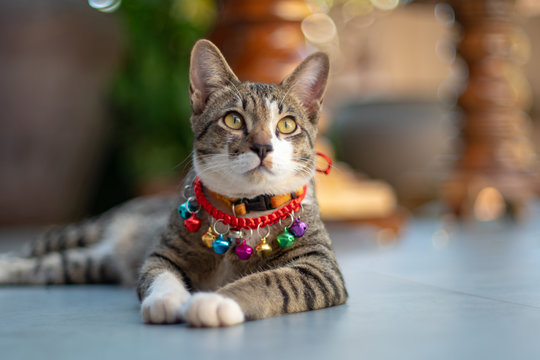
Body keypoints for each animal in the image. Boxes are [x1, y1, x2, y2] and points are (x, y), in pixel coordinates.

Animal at [0, 38, 348, 326]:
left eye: (287, 125)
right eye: (233, 119)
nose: (263, 146)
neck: (245, 210)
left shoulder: (321, 270)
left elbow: (270, 282)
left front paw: (216, 302)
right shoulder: (164, 252)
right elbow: (159, 274)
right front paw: (167, 301)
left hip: (89, 264)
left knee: (51, 267)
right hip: (88, 228)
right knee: (40, 248)